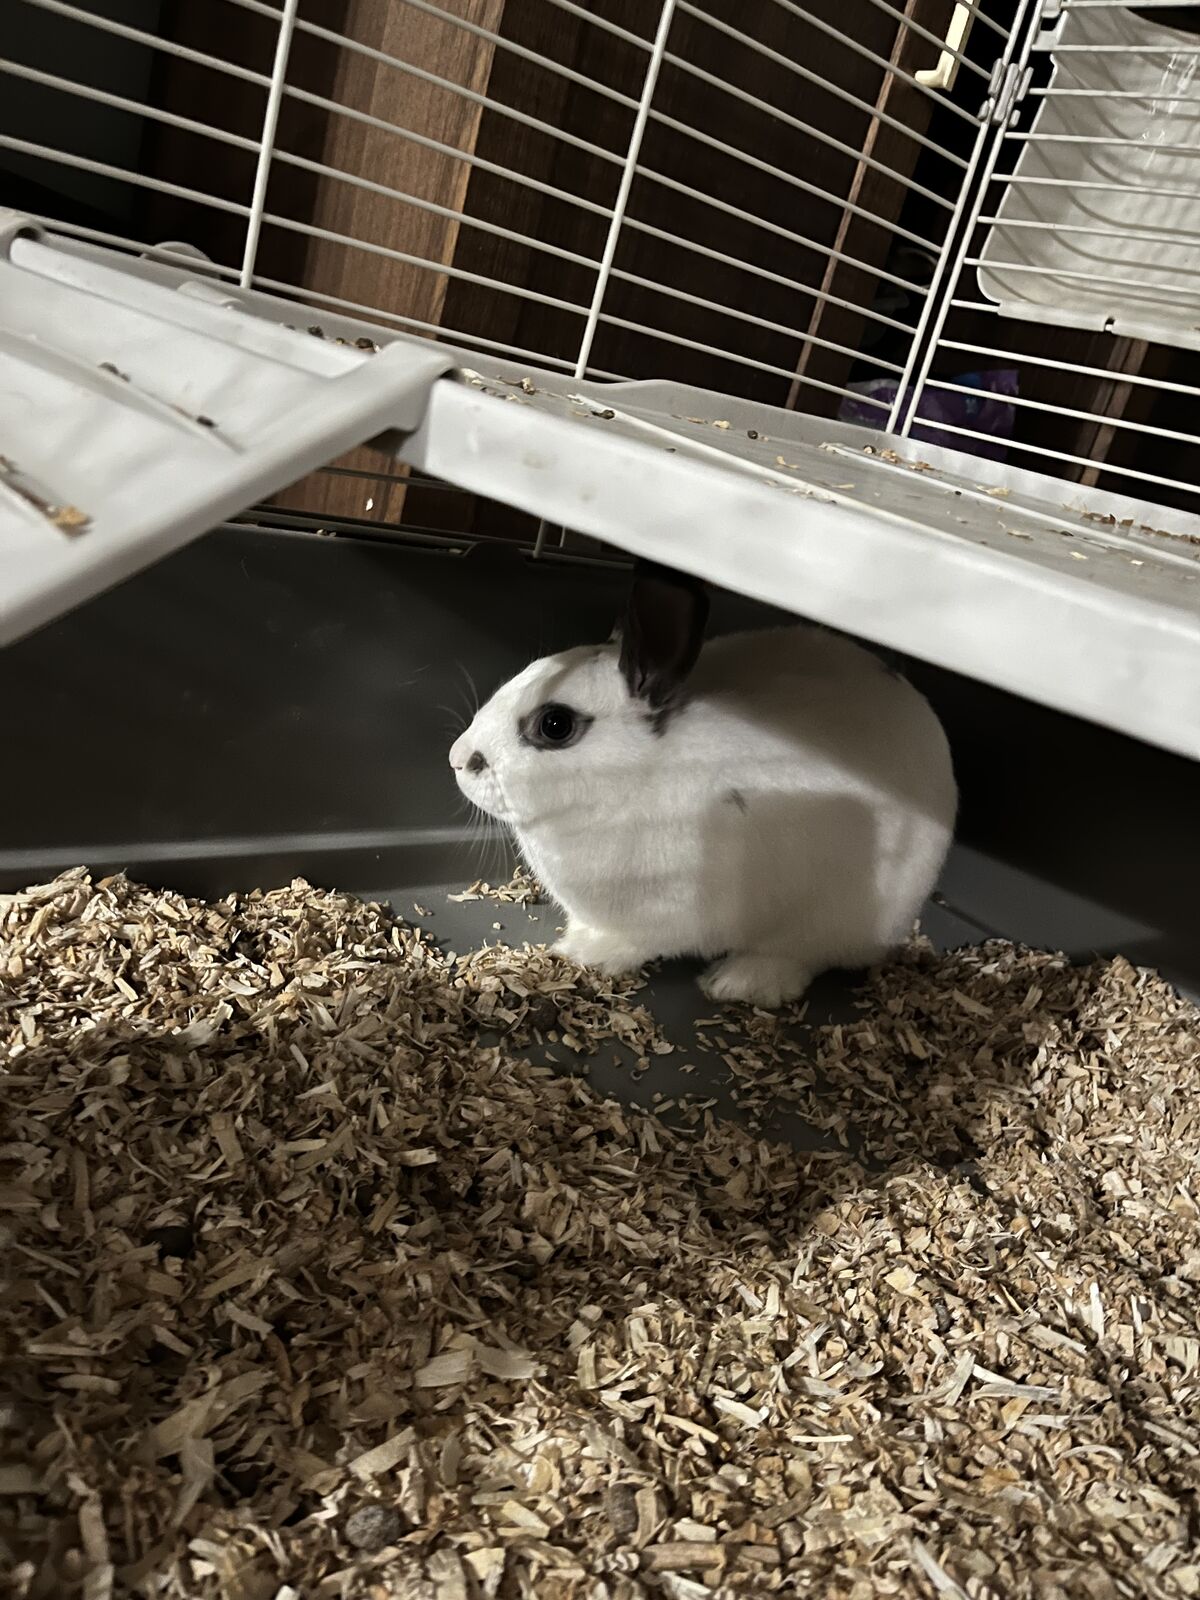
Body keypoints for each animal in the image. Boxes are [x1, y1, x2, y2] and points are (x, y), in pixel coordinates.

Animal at [449, 561, 956, 1008]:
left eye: (555, 725)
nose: (456, 759)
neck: (631, 782)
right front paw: (575, 945)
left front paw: (591, 955)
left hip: (835, 920)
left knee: (797, 954)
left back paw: (739, 983)